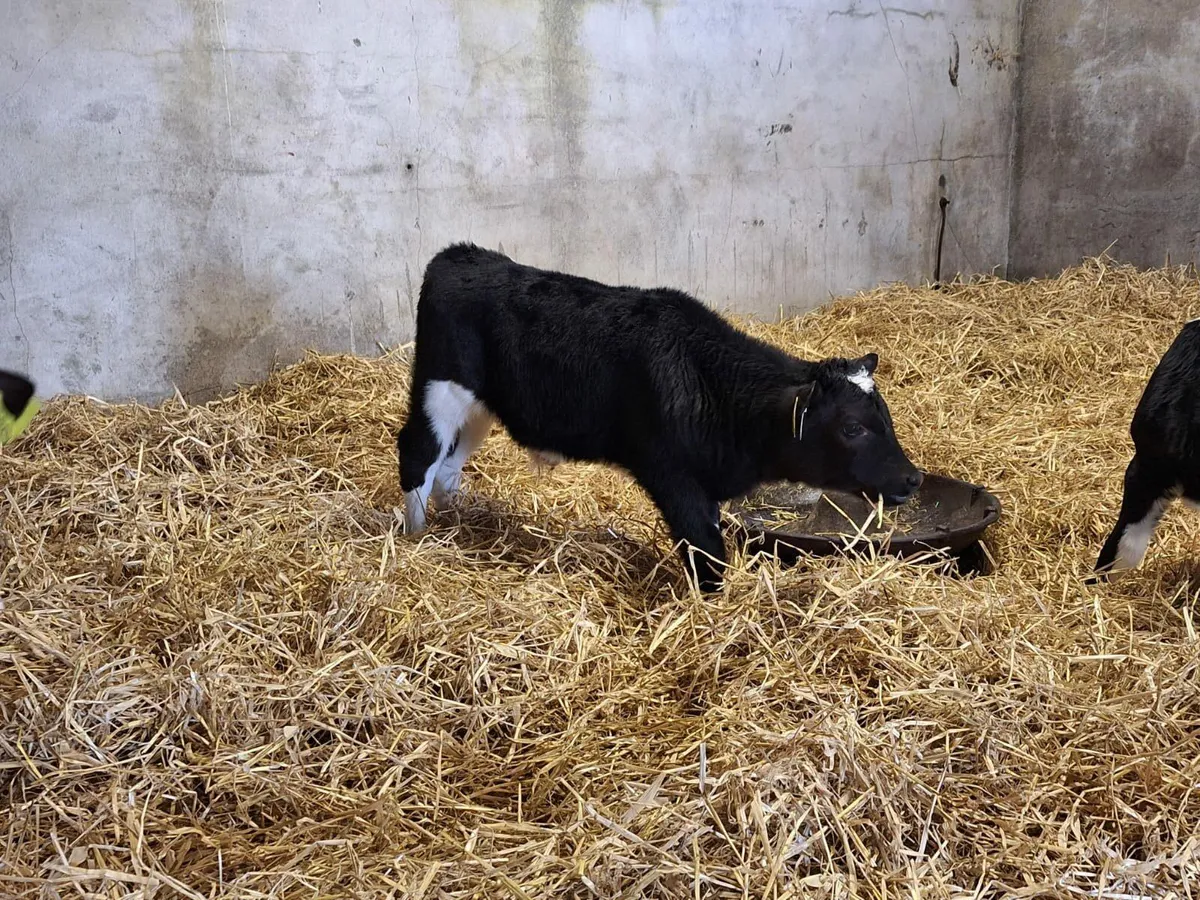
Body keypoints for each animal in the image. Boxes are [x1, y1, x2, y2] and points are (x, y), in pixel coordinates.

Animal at [397, 243, 924, 592]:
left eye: (886, 416)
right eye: (852, 427)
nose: (913, 478)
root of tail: (459, 254)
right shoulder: (673, 475)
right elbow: (705, 550)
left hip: (480, 407)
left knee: (449, 466)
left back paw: (459, 521)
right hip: (439, 388)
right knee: (419, 455)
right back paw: (416, 539)